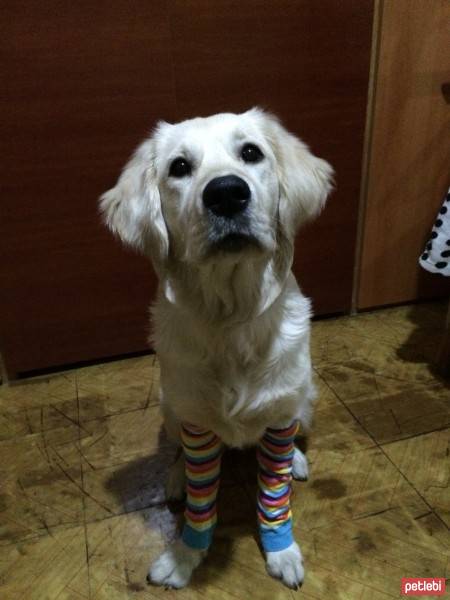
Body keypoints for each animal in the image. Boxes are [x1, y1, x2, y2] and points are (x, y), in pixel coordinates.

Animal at [100, 109, 332, 592]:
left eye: (251, 153)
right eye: (179, 167)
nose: (226, 193)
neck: (231, 321)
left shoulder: (281, 416)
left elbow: (274, 494)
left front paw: (281, 549)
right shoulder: (197, 425)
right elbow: (202, 502)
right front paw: (185, 555)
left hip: (305, 398)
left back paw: (297, 460)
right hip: (171, 406)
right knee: (176, 452)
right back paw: (175, 479)